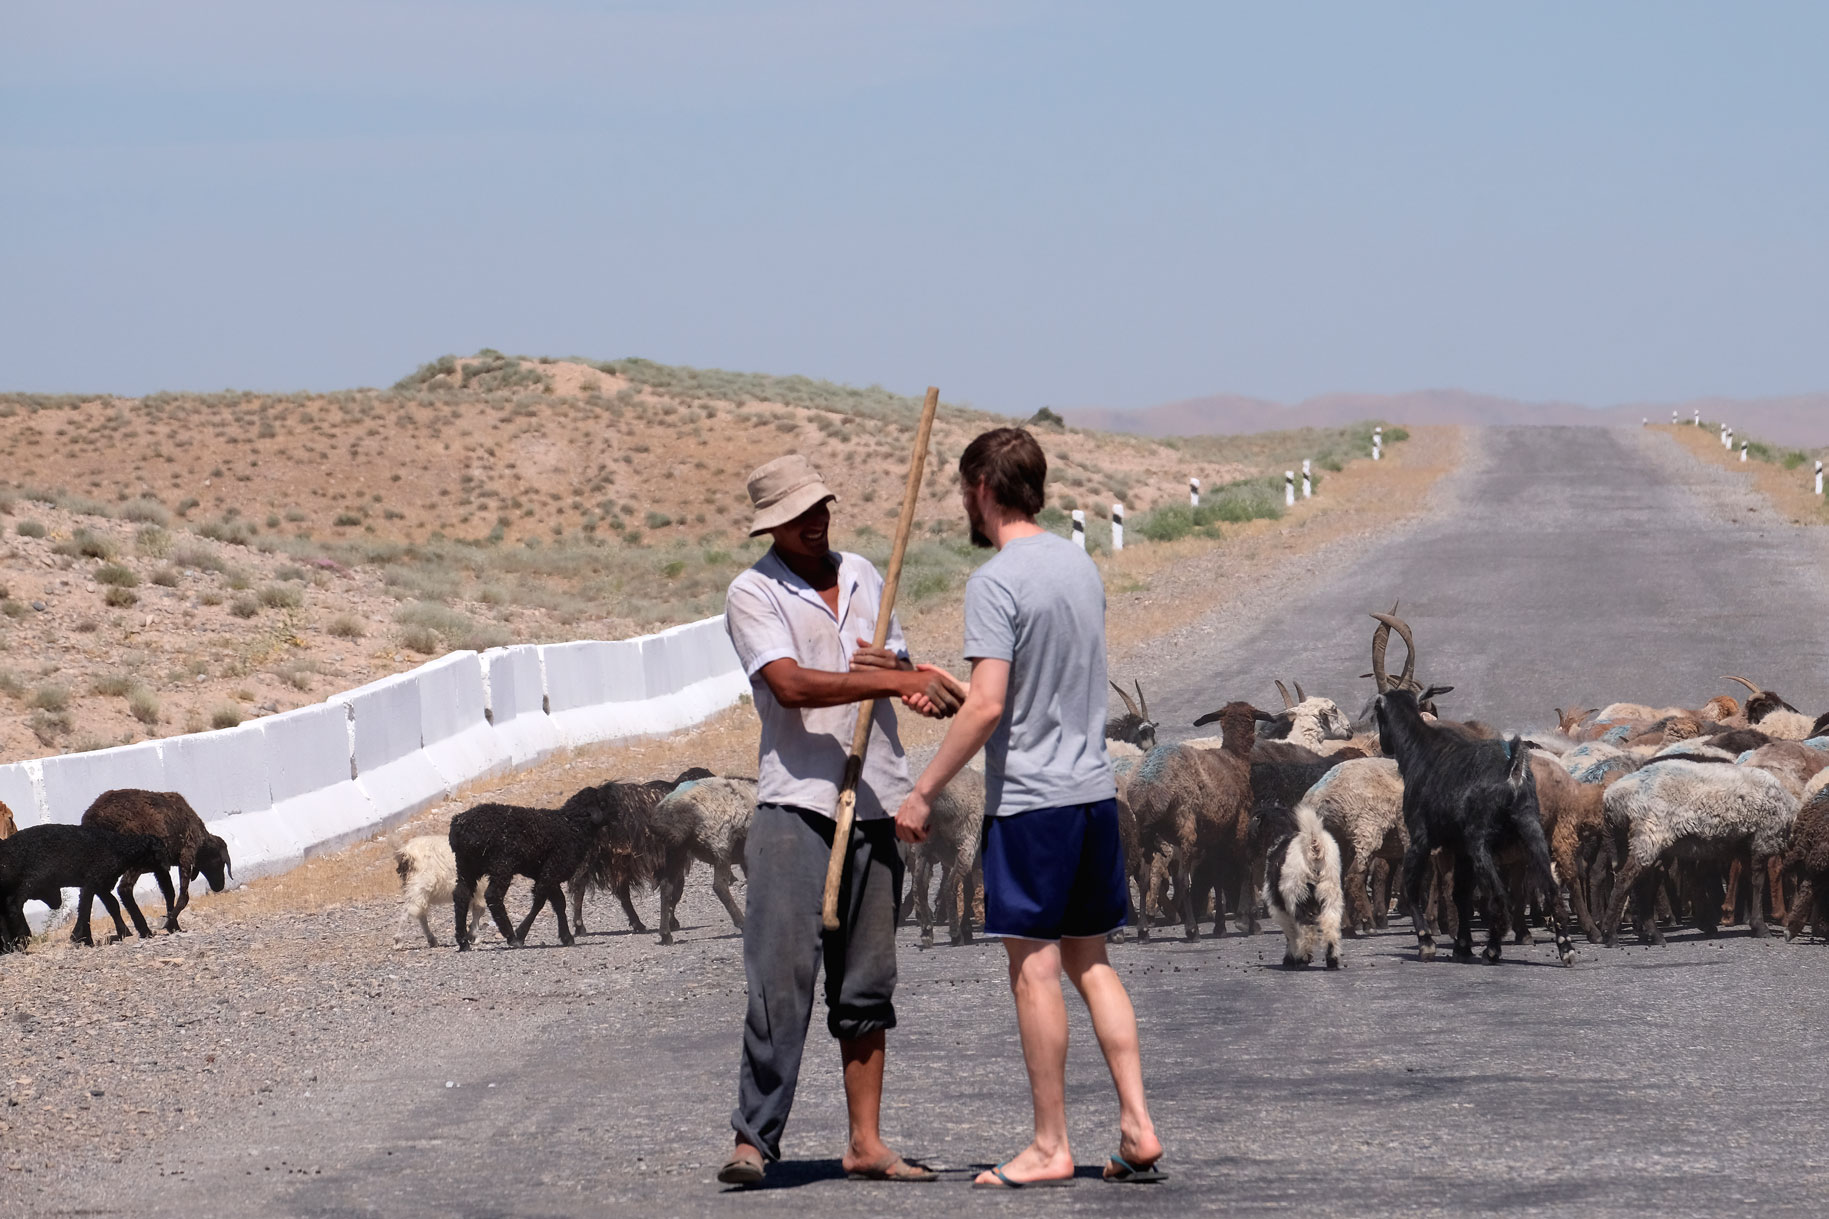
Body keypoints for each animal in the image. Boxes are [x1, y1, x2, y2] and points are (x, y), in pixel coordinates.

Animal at [0, 819, 165, 944]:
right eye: (158, 852)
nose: (165, 866)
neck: (117, 848)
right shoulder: (92, 880)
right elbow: (85, 907)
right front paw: (81, 938)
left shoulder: (100, 884)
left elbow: (112, 905)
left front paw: (125, 932)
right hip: (34, 879)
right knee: (14, 904)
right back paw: (21, 940)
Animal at [80, 787, 230, 929]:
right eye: (220, 862)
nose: (219, 886)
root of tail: (94, 818)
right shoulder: (186, 854)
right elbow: (183, 896)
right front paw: (170, 923)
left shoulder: (161, 868)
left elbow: (169, 893)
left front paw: (173, 926)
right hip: (134, 860)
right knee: (123, 889)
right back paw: (143, 929)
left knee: (90, 892)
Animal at [1375, 684, 1580, 959]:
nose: (1384, 745)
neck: (1420, 750)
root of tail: (1513, 771)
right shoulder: (1459, 848)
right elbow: (1460, 894)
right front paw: (1462, 944)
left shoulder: (1420, 837)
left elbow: (1412, 886)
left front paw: (1426, 942)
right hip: (1530, 829)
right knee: (1551, 889)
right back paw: (1565, 948)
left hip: (1480, 838)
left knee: (1499, 895)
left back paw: (1492, 948)